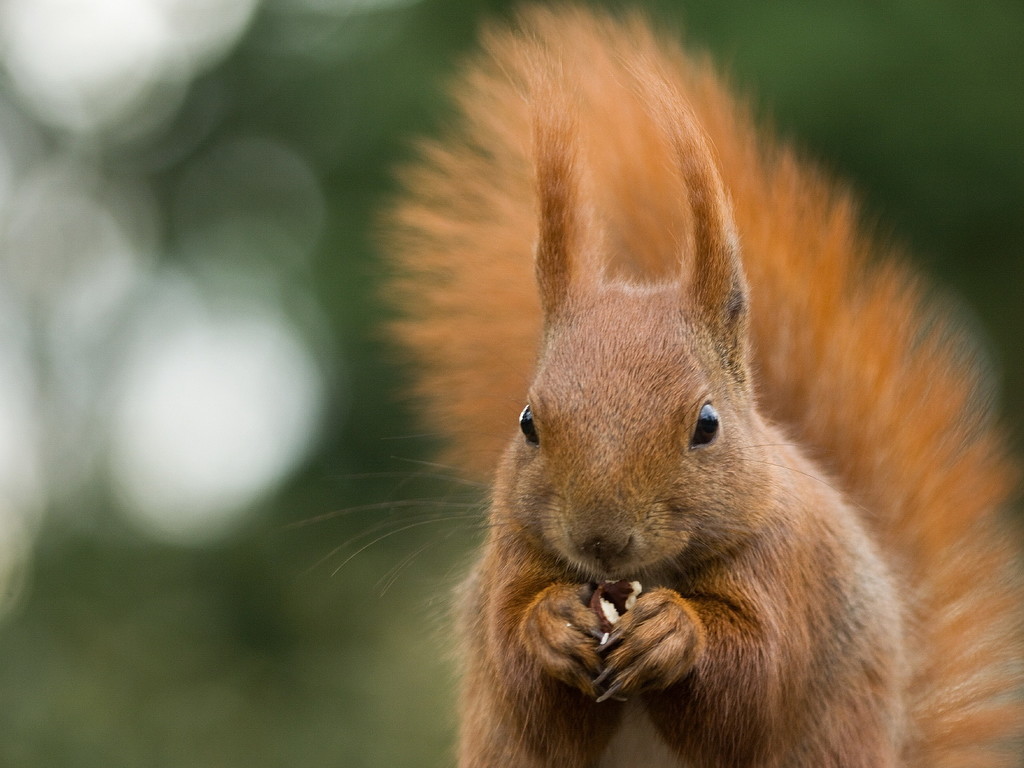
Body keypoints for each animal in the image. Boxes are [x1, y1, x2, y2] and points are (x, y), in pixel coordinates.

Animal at [382, 6, 1024, 768]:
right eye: (528, 422)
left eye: (707, 424)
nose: (601, 540)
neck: (645, 579)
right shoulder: (513, 555)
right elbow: (524, 688)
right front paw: (548, 627)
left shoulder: (787, 567)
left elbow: (749, 687)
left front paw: (673, 634)